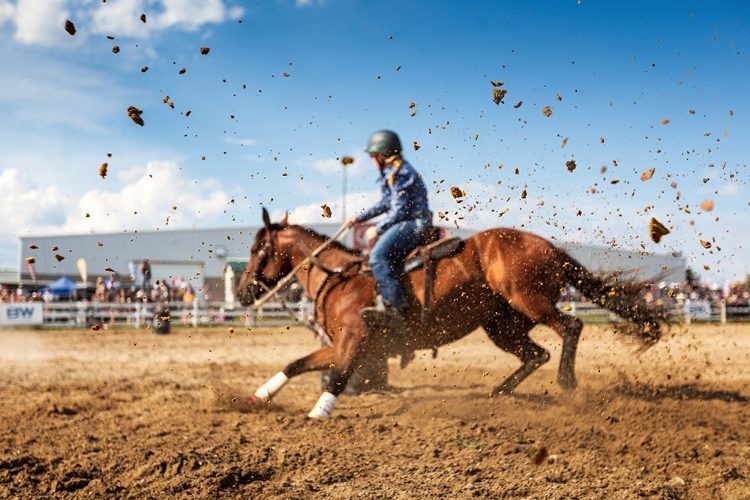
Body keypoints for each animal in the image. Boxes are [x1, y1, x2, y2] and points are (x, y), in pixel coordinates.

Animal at [238, 208, 660, 418]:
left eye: (258, 250)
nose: (242, 293)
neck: (342, 277)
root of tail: (551, 247)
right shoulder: (340, 343)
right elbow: (295, 364)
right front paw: (256, 398)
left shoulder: (353, 341)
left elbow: (338, 377)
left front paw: (318, 413)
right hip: (501, 325)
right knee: (536, 354)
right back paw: (498, 392)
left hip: (529, 300)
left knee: (571, 326)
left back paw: (567, 383)